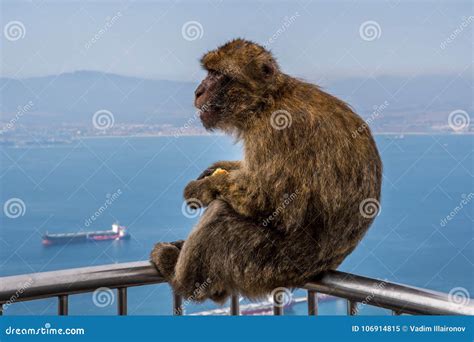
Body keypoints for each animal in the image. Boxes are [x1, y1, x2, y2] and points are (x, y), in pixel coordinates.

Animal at [151, 38, 382, 304]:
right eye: (209, 72)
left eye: (218, 75)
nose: (198, 91)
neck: (267, 102)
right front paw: (221, 169)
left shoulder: (276, 131)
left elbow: (270, 201)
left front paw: (204, 188)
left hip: (265, 265)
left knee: (221, 216)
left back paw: (181, 278)